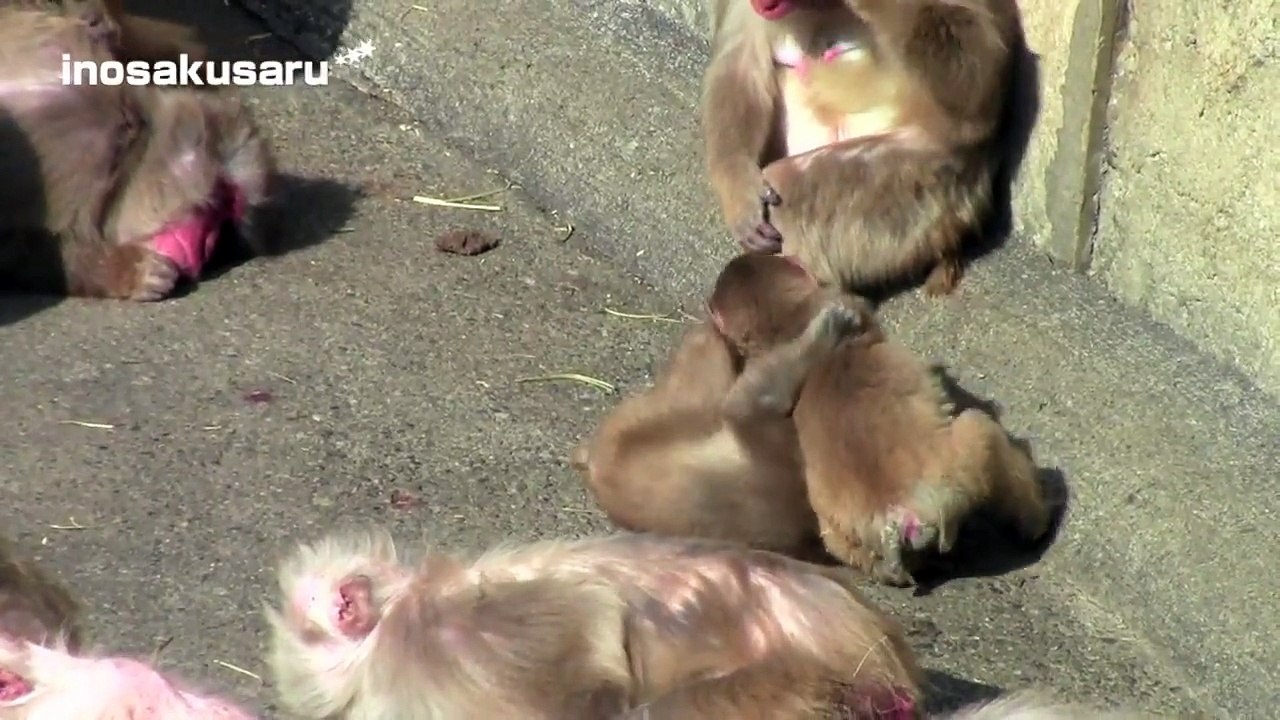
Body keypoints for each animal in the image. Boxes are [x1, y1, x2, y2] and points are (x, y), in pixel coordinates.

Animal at [707, 254, 1052, 586]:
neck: (786, 319)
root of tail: (894, 515)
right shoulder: (845, 303)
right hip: (956, 475)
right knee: (979, 429)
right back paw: (1036, 522)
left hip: (846, 531)